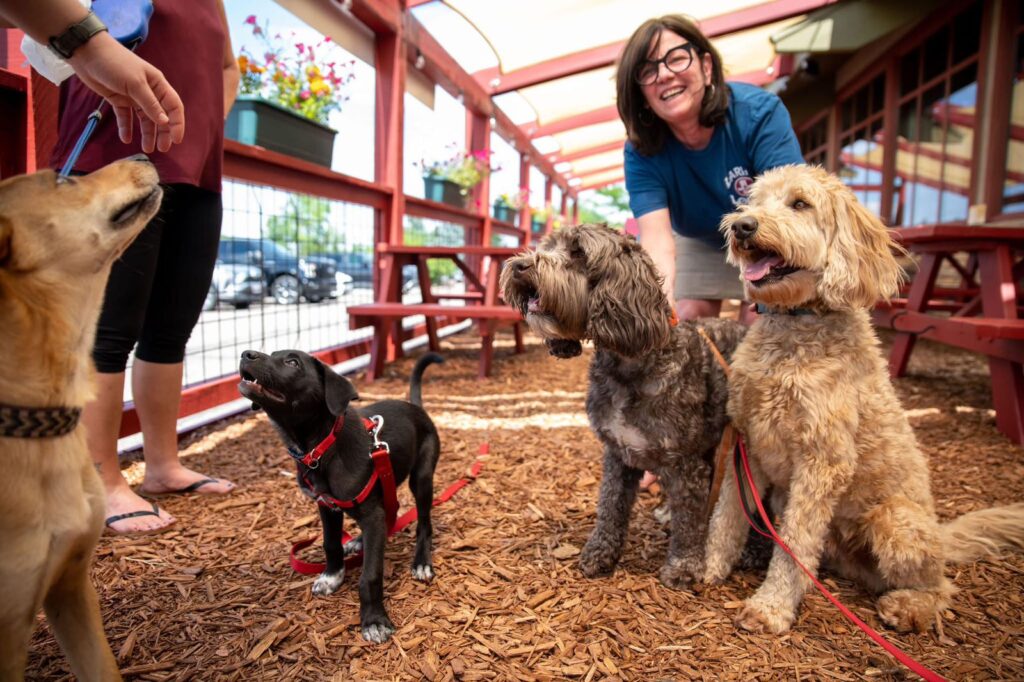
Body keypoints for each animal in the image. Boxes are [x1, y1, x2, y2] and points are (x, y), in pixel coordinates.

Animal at [238, 350, 443, 643]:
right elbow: (330, 544)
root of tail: (416, 408)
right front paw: (332, 576)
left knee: (424, 523)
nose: (246, 354)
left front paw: (374, 620)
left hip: (422, 478)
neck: (322, 449)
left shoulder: (371, 514)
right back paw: (358, 541)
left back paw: (421, 562)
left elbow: (370, 574)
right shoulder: (327, 506)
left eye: (292, 362)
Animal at [501, 223, 749, 588]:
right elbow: (610, 507)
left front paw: (683, 567)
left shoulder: (684, 463)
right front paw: (600, 553)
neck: (629, 365)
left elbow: (689, 522)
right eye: (548, 245)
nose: (520, 266)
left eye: (578, 253)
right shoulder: (618, 456)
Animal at [705, 164, 1024, 634]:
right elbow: (728, 515)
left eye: (800, 204)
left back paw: (908, 607)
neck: (794, 328)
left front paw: (771, 607)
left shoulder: (823, 462)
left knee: (941, 587)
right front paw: (707, 565)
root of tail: (941, 536)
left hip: (896, 523)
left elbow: (794, 541)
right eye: (752, 202)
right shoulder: (749, 446)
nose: (742, 226)